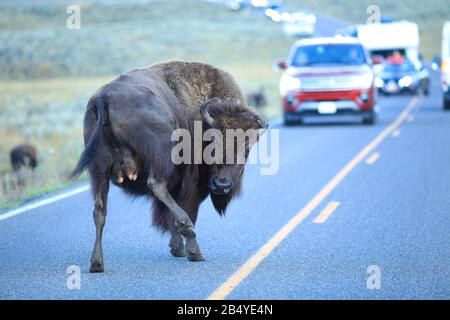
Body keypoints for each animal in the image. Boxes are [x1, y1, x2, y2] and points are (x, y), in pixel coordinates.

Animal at [70, 60, 268, 272]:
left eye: (246, 150)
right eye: (212, 145)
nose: (221, 185)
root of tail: (104, 97)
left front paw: (177, 247)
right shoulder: (192, 184)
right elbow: (187, 209)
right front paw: (181, 248)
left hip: (98, 170)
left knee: (100, 210)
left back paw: (97, 263)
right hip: (161, 157)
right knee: (157, 186)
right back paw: (195, 247)